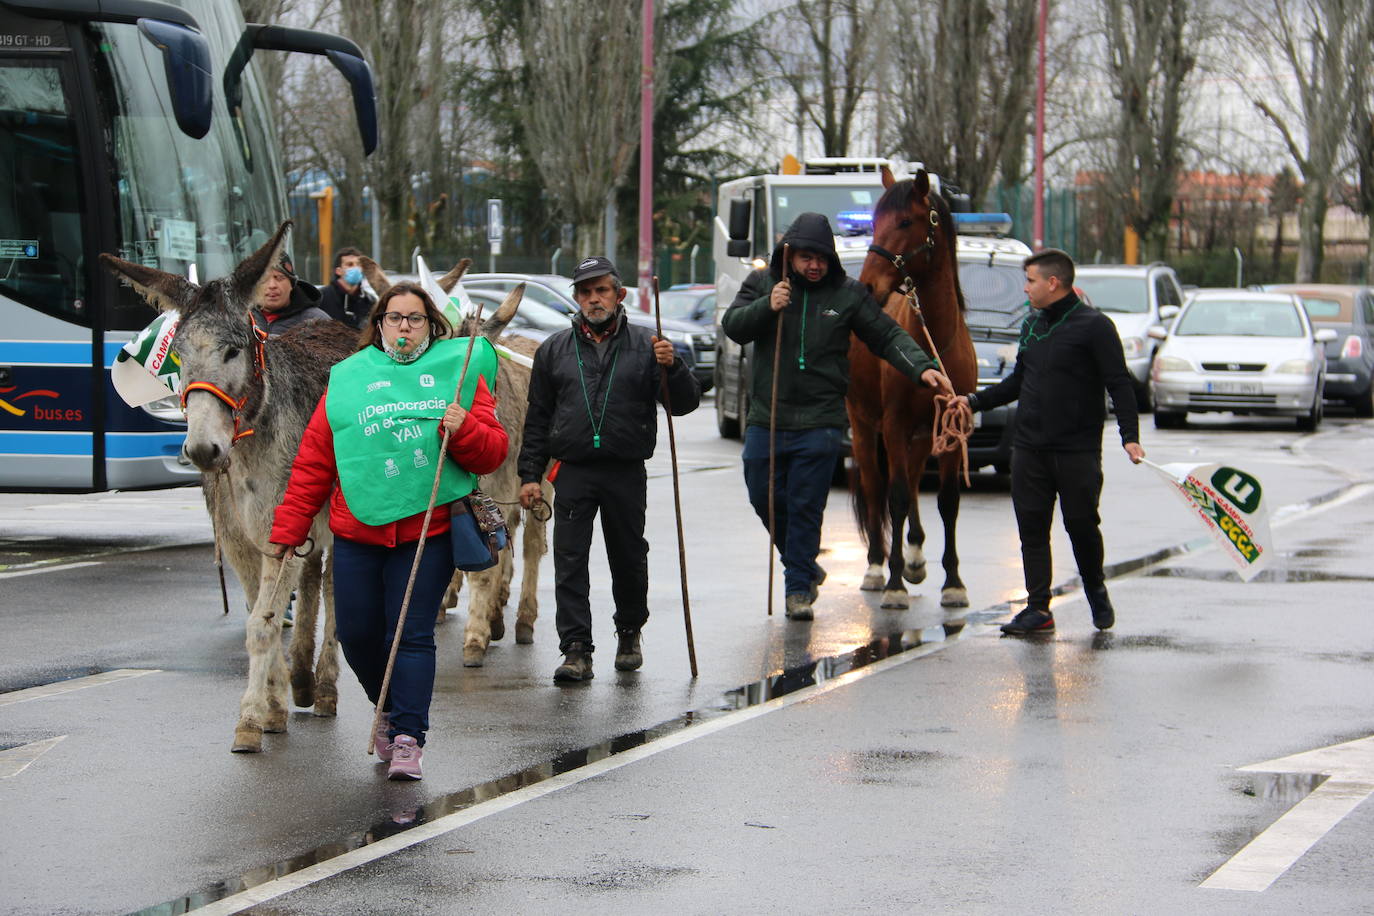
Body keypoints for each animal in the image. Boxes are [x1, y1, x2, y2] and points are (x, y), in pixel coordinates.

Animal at [846, 168, 978, 612]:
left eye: (905, 222)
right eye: (874, 221)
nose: (866, 286)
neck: (931, 344)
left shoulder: (952, 426)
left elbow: (948, 501)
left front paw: (953, 582)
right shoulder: (894, 424)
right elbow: (897, 496)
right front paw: (893, 586)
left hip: (922, 435)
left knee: (918, 481)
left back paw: (916, 557)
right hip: (864, 426)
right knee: (875, 486)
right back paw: (875, 567)